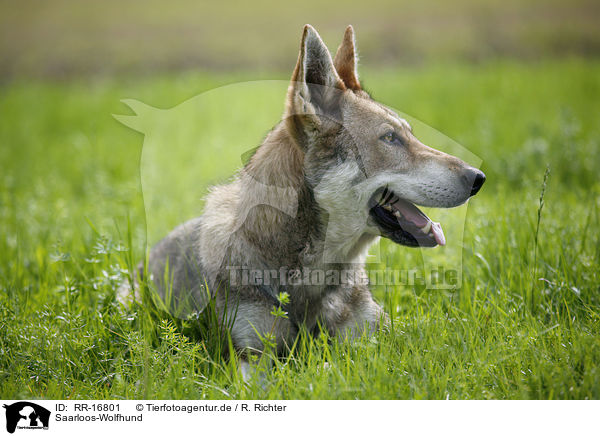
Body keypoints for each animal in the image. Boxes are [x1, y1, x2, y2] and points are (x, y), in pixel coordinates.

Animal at [131, 24, 482, 378]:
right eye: (389, 138)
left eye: (410, 134)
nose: (478, 178)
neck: (312, 277)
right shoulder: (250, 358)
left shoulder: (383, 338)